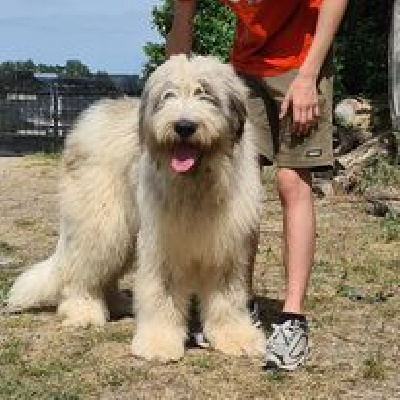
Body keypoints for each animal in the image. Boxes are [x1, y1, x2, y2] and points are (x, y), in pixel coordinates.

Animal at [5, 54, 266, 360]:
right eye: (168, 95)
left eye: (206, 94)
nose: (184, 126)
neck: (196, 183)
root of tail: (86, 120)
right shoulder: (163, 245)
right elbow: (162, 293)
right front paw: (159, 343)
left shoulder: (225, 246)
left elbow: (227, 295)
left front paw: (236, 336)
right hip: (102, 223)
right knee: (81, 271)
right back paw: (84, 310)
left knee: (106, 274)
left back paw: (117, 304)